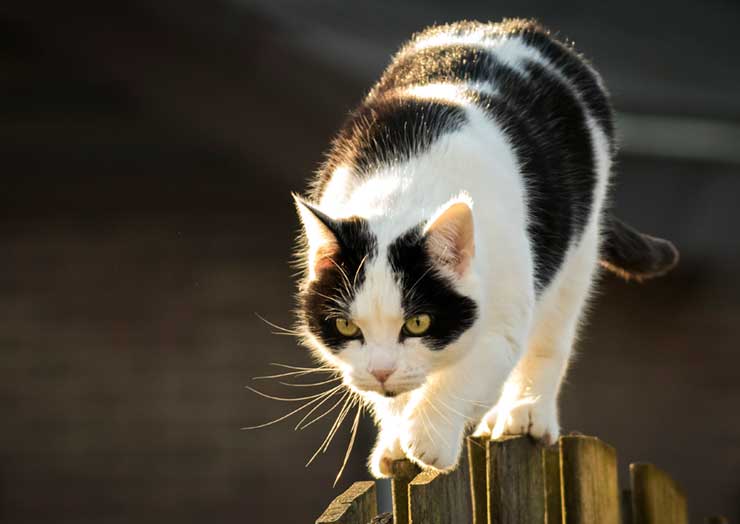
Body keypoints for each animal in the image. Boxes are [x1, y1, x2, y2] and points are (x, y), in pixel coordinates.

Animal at [290, 18, 676, 476]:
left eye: (418, 323)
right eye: (348, 327)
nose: (383, 371)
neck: (404, 187)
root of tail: (514, 27)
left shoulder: (504, 314)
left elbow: (469, 371)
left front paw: (428, 438)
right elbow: (392, 394)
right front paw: (396, 438)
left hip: (580, 242)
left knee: (552, 335)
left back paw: (527, 413)